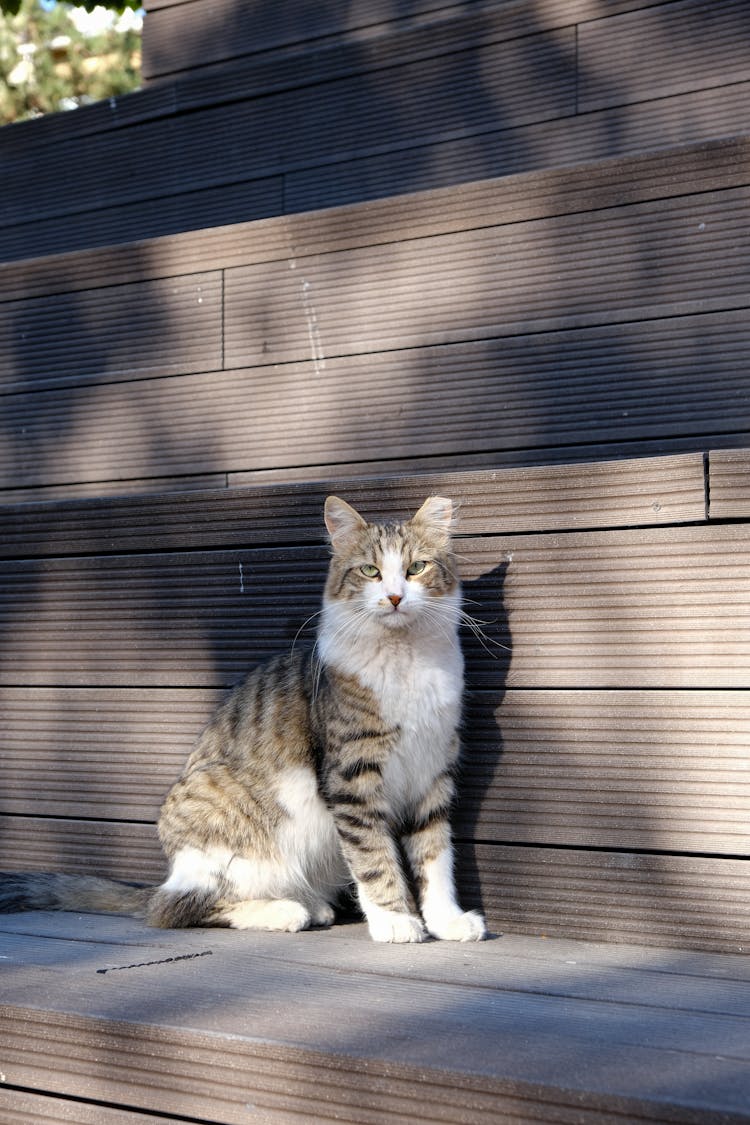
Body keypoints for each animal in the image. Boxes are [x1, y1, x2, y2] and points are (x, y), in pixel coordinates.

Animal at [0, 497, 490, 945]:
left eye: (416, 568)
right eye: (370, 571)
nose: (394, 597)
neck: (407, 662)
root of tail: (167, 873)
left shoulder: (433, 774)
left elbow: (435, 858)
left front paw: (445, 920)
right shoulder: (352, 779)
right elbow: (375, 858)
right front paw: (394, 921)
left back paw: (310, 905)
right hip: (230, 833)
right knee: (173, 908)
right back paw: (284, 911)